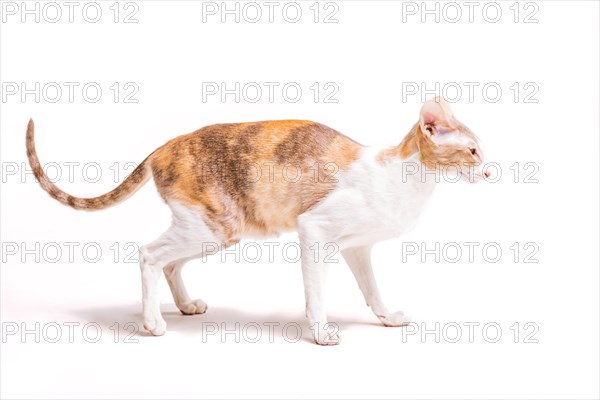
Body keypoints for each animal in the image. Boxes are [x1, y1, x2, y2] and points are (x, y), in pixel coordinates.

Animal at [25, 96, 490, 344]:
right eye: (472, 151)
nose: (489, 173)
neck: (410, 181)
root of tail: (166, 145)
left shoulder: (358, 247)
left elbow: (372, 290)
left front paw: (387, 317)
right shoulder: (314, 230)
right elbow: (316, 294)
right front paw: (321, 333)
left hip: (213, 231)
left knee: (170, 263)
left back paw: (184, 306)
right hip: (216, 225)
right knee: (149, 254)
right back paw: (153, 322)